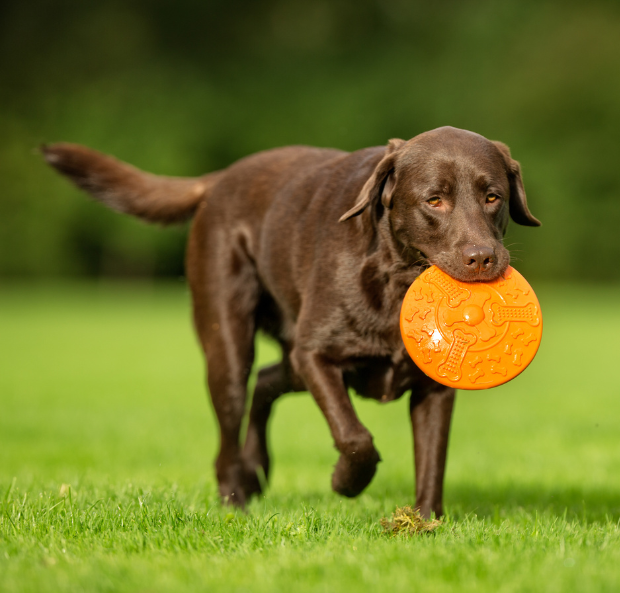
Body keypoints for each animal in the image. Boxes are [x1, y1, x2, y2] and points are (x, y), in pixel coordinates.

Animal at [42, 127, 536, 516]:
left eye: (492, 197)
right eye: (435, 200)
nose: (483, 258)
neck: (396, 280)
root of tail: (221, 178)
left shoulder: (434, 387)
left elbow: (433, 459)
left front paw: (426, 522)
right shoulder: (316, 355)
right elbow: (354, 436)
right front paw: (345, 482)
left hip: (288, 358)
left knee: (265, 382)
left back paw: (257, 469)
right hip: (230, 346)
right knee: (232, 419)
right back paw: (235, 498)